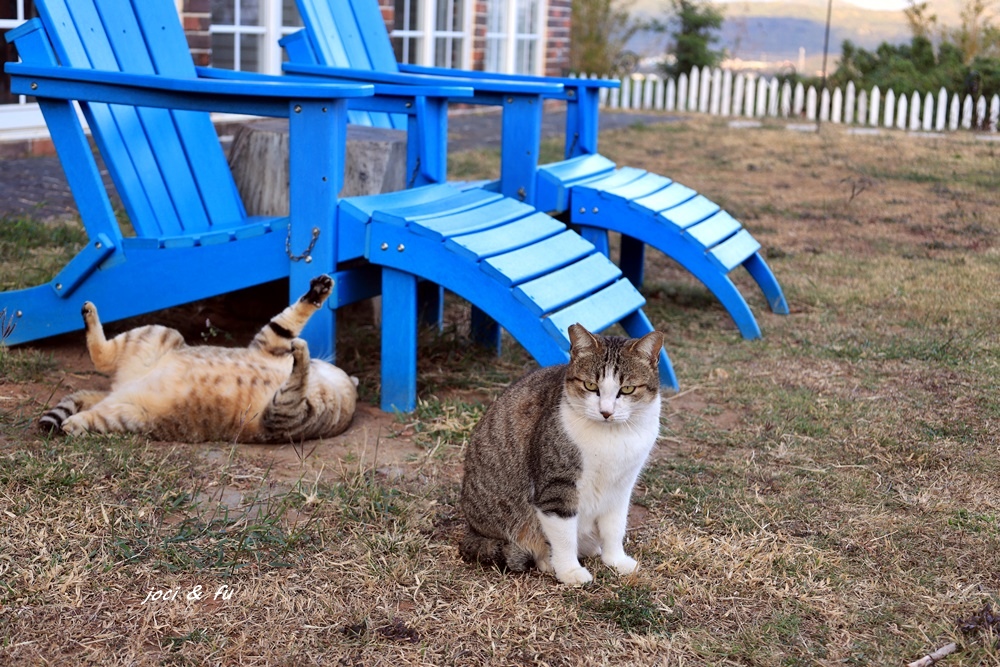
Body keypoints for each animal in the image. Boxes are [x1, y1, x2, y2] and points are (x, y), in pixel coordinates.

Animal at [40, 276, 360, 444]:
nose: (322, 361)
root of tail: (116, 389)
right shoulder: (269, 342)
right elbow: (289, 320)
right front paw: (318, 291)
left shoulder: (283, 416)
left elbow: (296, 380)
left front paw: (302, 354)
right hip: (158, 333)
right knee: (102, 357)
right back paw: (90, 314)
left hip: (125, 416)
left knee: (94, 393)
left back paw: (72, 423)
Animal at [460, 326, 664, 588]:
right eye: (590, 385)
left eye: (627, 389)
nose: (606, 412)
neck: (611, 436)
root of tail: (473, 531)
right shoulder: (557, 486)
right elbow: (564, 535)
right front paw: (570, 571)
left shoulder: (621, 486)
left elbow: (615, 527)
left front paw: (616, 560)